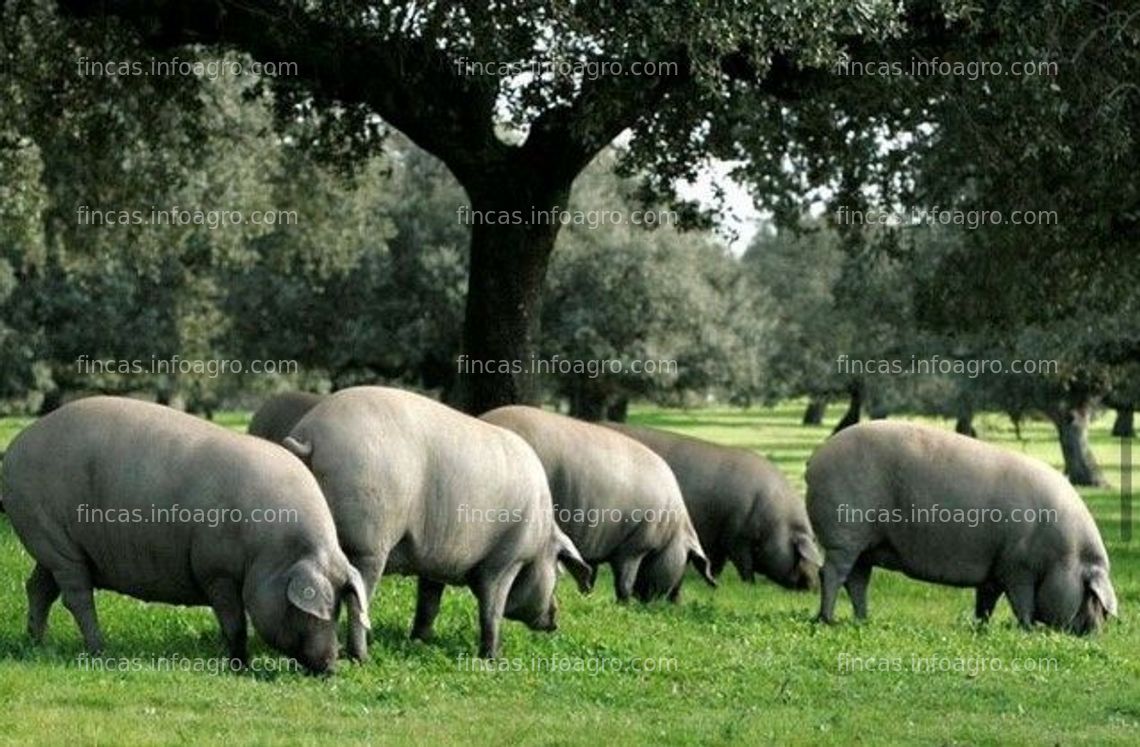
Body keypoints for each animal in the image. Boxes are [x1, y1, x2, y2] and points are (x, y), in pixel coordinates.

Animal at [2, 401, 367, 675]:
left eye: (339, 608)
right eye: (316, 612)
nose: (332, 667)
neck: (272, 551)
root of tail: (17, 447)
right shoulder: (216, 571)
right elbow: (234, 622)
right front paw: (241, 667)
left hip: (55, 547)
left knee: (38, 588)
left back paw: (37, 643)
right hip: (50, 534)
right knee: (75, 595)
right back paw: (100, 651)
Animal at [478, 406, 711, 606]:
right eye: (686, 560)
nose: (676, 601)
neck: (672, 528)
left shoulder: (596, 543)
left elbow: (590, 574)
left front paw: (587, 597)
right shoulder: (635, 545)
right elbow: (624, 579)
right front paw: (624, 605)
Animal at [606, 419, 820, 588]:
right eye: (800, 553)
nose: (814, 586)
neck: (775, 524)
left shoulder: (720, 537)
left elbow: (718, 563)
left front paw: (714, 581)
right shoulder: (736, 537)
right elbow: (744, 565)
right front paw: (749, 585)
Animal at [807, 417, 1117, 634]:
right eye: (1092, 596)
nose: (1097, 632)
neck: (1065, 556)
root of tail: (815, 460)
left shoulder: (995, 569)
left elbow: (986, 602)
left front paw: (982, 628)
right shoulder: (1018, 568)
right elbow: (1023, 603)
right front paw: (1028, 630)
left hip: (866, 546)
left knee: (857, 581)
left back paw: (863, 620)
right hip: (844, 536)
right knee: (832, 573)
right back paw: (828, 620)